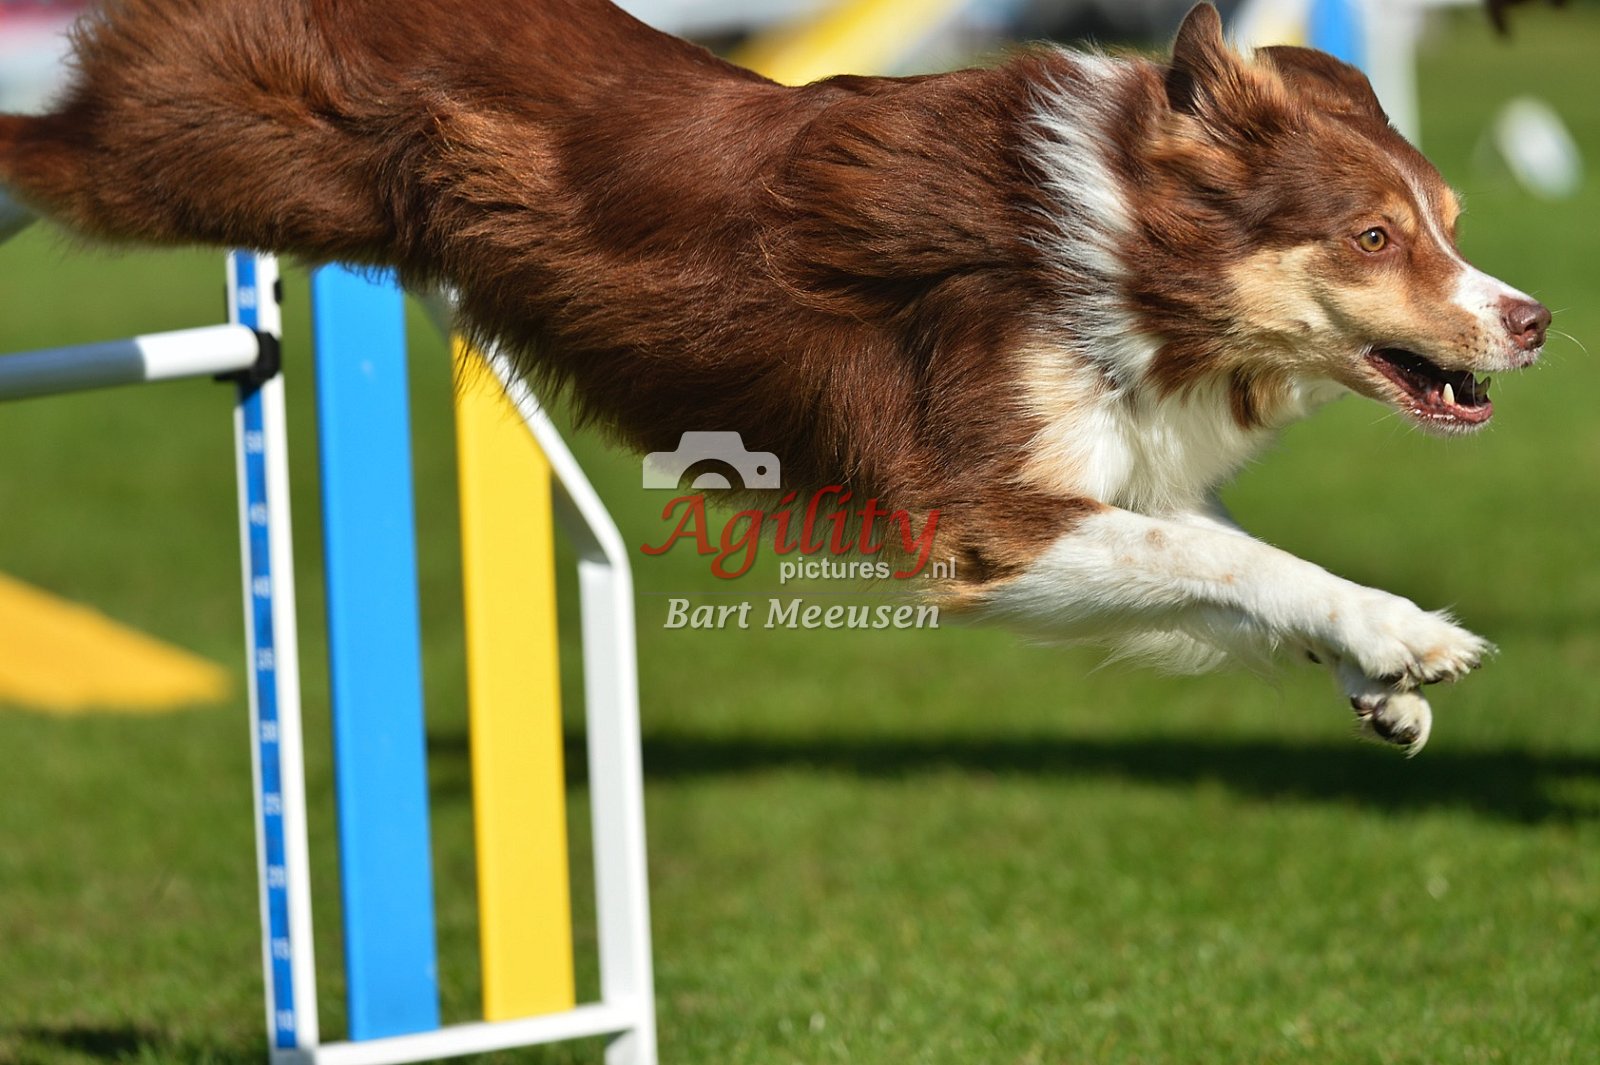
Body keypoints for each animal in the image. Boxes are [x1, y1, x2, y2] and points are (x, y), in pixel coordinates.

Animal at [0, 0, 1549, 751]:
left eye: (1449, 224)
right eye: (1374, 236)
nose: (1532, 320)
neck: (1121, 251)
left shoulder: (1091, 477)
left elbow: (1211, 558)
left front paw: (1372, 681)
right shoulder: (979, 511)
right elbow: (1229, 557)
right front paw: (1401, 632)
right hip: (200, 153)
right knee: (40, 145)